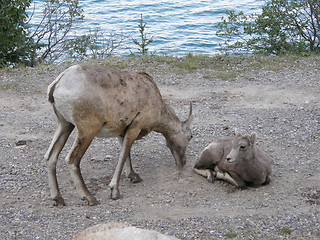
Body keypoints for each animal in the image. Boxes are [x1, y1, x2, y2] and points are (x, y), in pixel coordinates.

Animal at [44, 64, 192, 205]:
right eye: (190, 136)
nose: (183, 162)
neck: (158, 110)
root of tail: (56, 85)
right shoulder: (135, 127)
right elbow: (123, 155)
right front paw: (115, 191)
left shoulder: (122, 131)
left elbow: (126, 154)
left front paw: (134, 177)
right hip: (87, 130)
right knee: (71, 159)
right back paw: (90, 198)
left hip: (65, 124)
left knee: (50, 156)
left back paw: (58, 199)